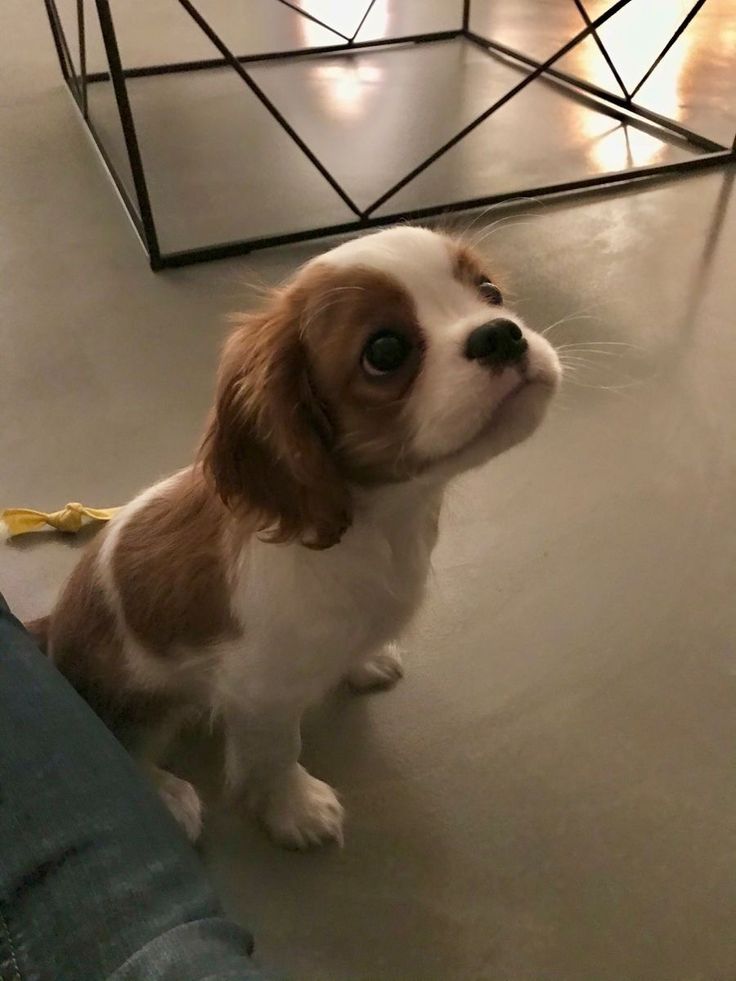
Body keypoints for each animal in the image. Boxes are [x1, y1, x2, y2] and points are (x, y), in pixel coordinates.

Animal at [31, 226, 560, 848]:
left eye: (490, 292)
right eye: (385, 351)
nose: (500, 333)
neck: (381, 524)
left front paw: (363, 662)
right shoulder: (260, 694)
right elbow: (276, 754)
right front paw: (295, 808)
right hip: (140, 698)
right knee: (129, 745)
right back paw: (168, 794)